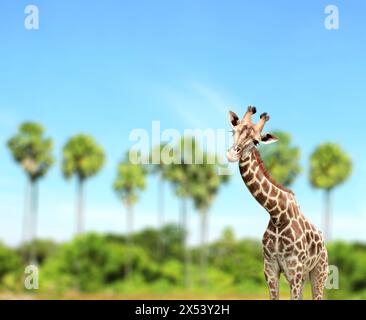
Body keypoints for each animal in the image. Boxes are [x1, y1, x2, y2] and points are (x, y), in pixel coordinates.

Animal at [226, 106, 328, 298]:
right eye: (233, 131)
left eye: (256, 141)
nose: (231, 155)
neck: (276, 215)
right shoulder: (270, 268)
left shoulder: (294, 268)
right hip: (304, 275)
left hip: (319, 271)